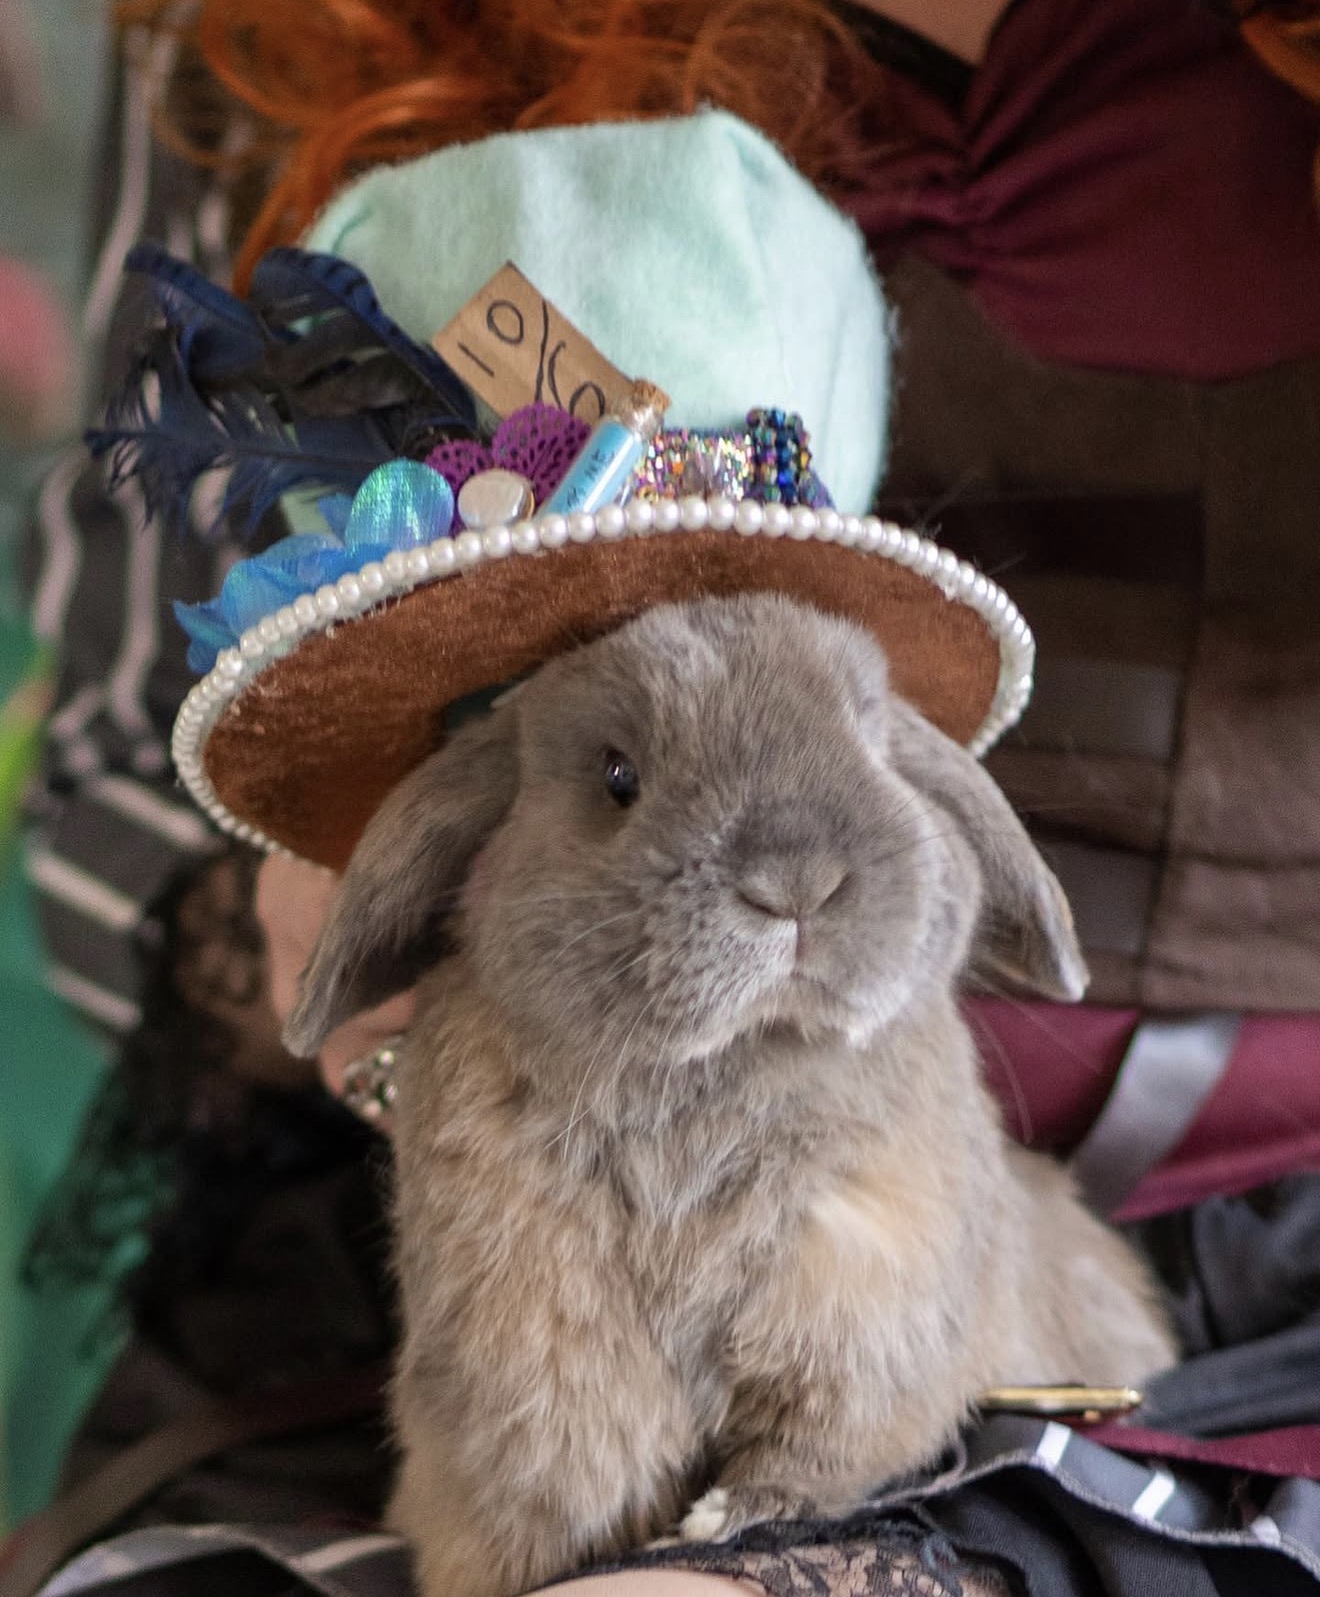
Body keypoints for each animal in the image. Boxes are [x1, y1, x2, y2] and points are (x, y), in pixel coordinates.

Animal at [285, 590, 1176, 1597]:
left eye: (870, 736)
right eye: (618, 774)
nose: (797, 881)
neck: (729, 1069)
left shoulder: (870, 1297)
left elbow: (820, 1448)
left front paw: (728, 1513)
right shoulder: (531, 1354)